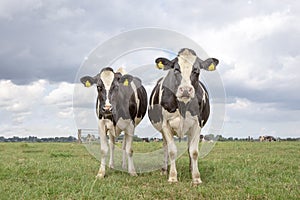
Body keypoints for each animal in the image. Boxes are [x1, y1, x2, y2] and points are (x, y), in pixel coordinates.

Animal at [149, 48, 219, 184]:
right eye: (176, 69)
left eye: (196, 70)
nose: (186, 90)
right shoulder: (166, 124)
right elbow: (171, 151)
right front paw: (172, 177)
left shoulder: (197, 124)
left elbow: (194, 152)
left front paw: (196, 177)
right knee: (165, 147)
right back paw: (164, 170)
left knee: (189, 148)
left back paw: (191, 168)